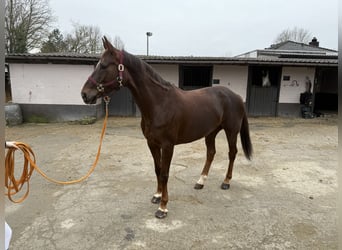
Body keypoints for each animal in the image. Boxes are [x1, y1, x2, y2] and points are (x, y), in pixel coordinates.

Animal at [80, 37, 251, 219]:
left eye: (104, 65)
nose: (84, 94)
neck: (159, 104)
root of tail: (236, 96)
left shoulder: (168, 146)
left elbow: (165, 173)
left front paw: (163, 207)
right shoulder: (152, 143)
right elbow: (157, 169)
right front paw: (157, 195)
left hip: (231, 131)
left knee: (232, 153)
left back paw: (226, 182)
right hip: (210, 133)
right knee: (211, 153)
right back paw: (200, 182)